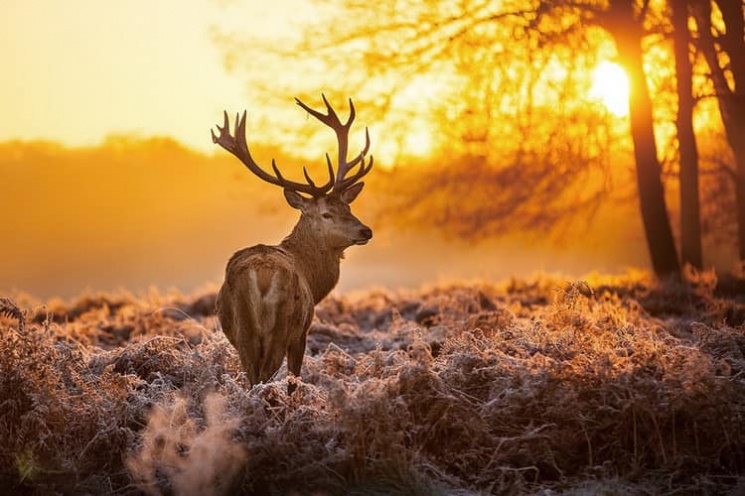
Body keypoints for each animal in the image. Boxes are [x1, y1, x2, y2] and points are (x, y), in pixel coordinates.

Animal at [209, 95, 372, 394]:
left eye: (348, 207)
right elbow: (294, 378)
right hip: (282, 326)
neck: (312, 278)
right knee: (266, 376)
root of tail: (261, 275)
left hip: (243, 330)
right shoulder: (302, 331)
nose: (366, 230)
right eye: (326, 214)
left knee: (253, 376)